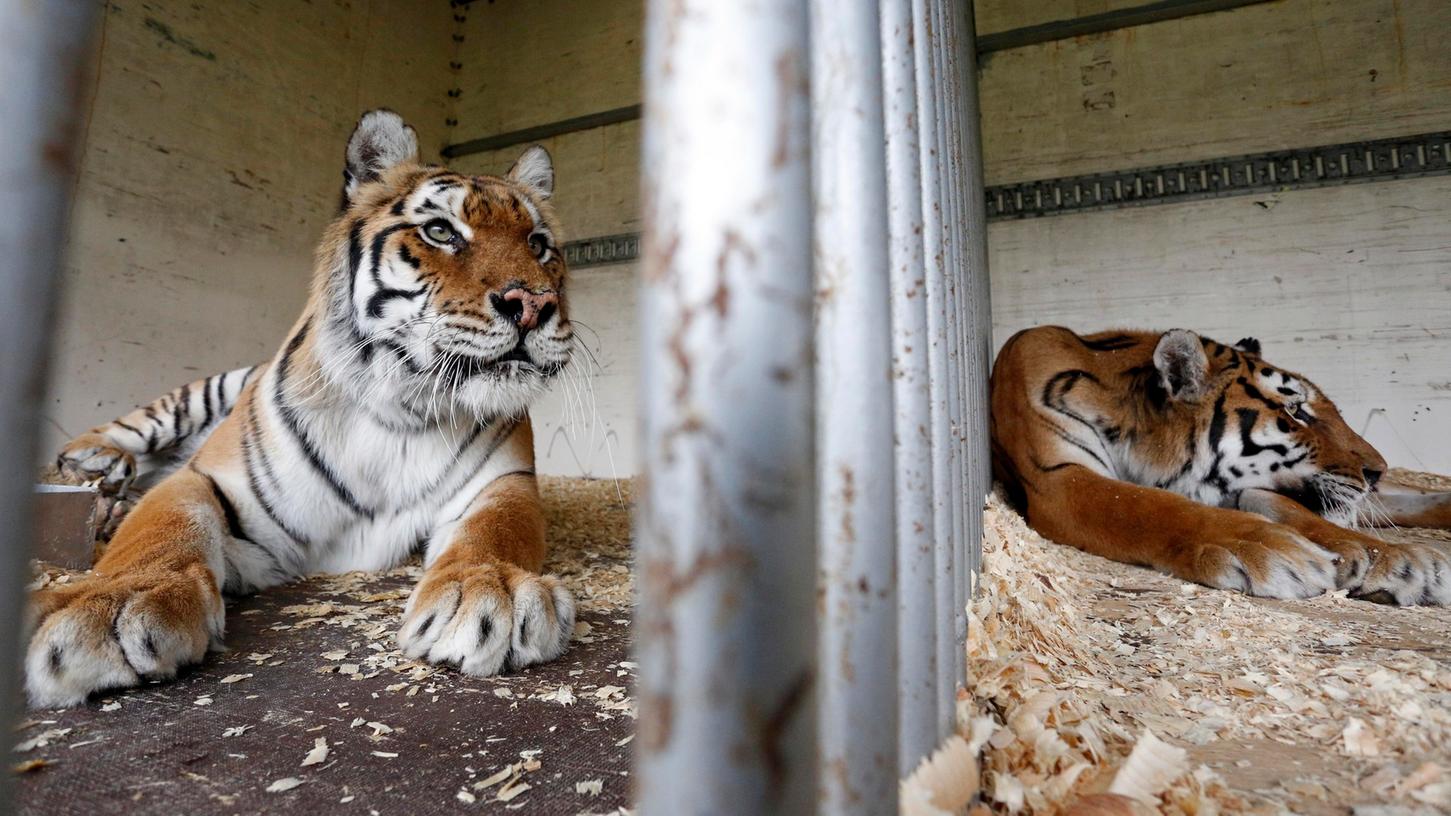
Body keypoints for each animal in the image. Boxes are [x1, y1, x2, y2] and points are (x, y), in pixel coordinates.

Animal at [29, 108, 577, 705]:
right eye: (440, 231)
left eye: (539, 243)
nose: (534, 305)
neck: (402, 409)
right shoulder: (206, 479)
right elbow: (161, 529)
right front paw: (111, 605)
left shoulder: (504, 483)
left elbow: (496, 532)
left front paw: (490, 592)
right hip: (201, 394)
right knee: (127, 433)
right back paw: (97, 463)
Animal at [992, 323, 1451, 604]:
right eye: (1296, 411)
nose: (1378, 471)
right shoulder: (1059, 479)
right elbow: (1146, 506)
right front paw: (1273, 549)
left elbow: (1297, 512)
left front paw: (1399, 560)